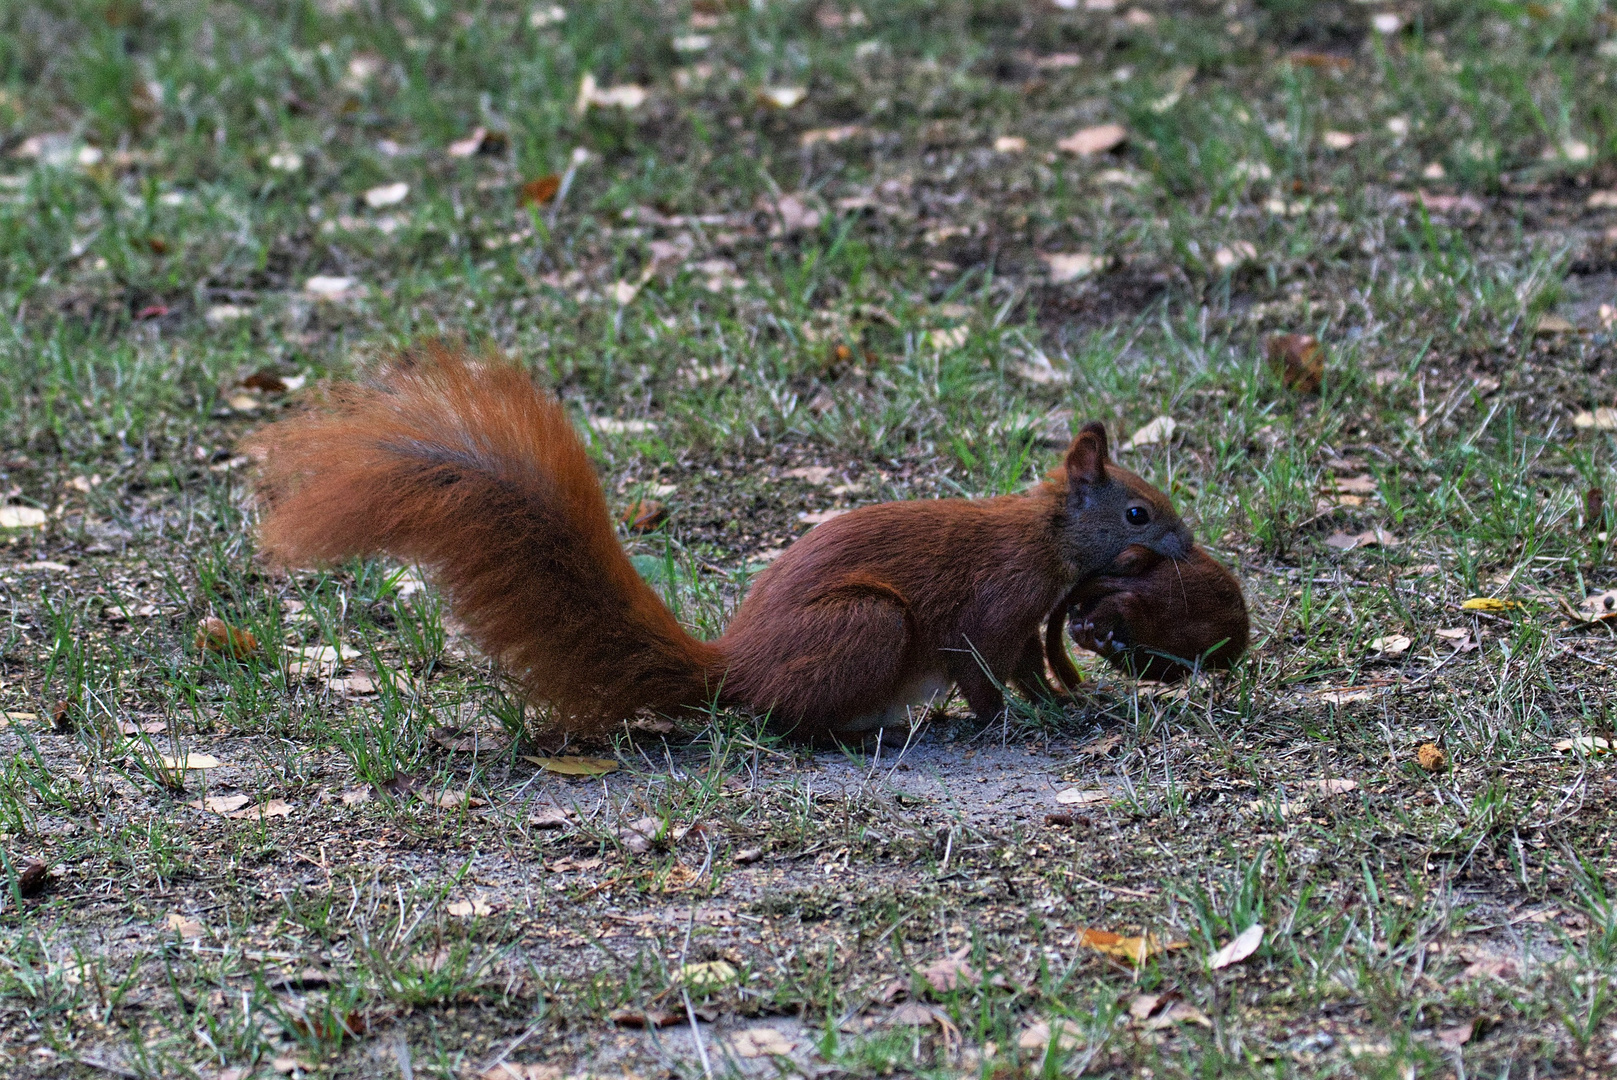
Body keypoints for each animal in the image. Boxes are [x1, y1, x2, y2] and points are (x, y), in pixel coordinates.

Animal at [245, 345, 1196, 743]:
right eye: (1138, 513)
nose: (1187, 548)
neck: (1043, 533)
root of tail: (736, 668)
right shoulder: (993, 603)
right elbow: (982, 671)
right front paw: (1015, 720)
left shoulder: (1028, 619)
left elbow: (1030, 664)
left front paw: (1066, 702)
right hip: (867, 625)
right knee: (790, 720)